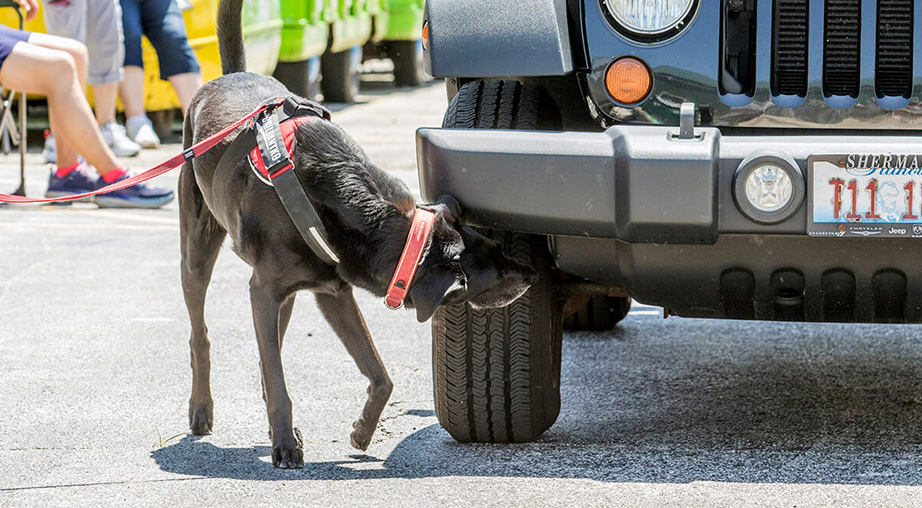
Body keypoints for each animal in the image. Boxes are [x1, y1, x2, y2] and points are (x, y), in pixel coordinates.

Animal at [177, 0, 536, 468]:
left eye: (496, 246)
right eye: (490, 274)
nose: (531, 274)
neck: (358, 210)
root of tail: (231, 75)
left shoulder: (332, 291)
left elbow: (379, 375)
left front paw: (362, 432)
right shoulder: (268, 287)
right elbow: (278, 379)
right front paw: (285, 445)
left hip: (280, 295)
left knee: (268, 350)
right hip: (199, 247)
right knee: (201, 334)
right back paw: (202, 411)